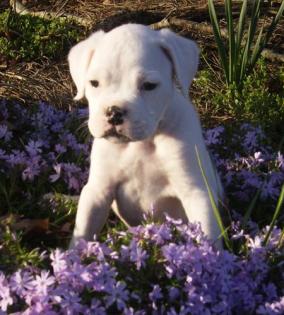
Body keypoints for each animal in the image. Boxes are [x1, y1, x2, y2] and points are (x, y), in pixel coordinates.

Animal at [67, 23, 223, 248]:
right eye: (94, 83)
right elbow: (83, 233)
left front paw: (209, 256)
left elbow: (208, 237)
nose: (114, 112)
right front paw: (73, 257)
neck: (141, 144)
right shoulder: (98, 191)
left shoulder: (197, 193)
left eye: (149, 86)